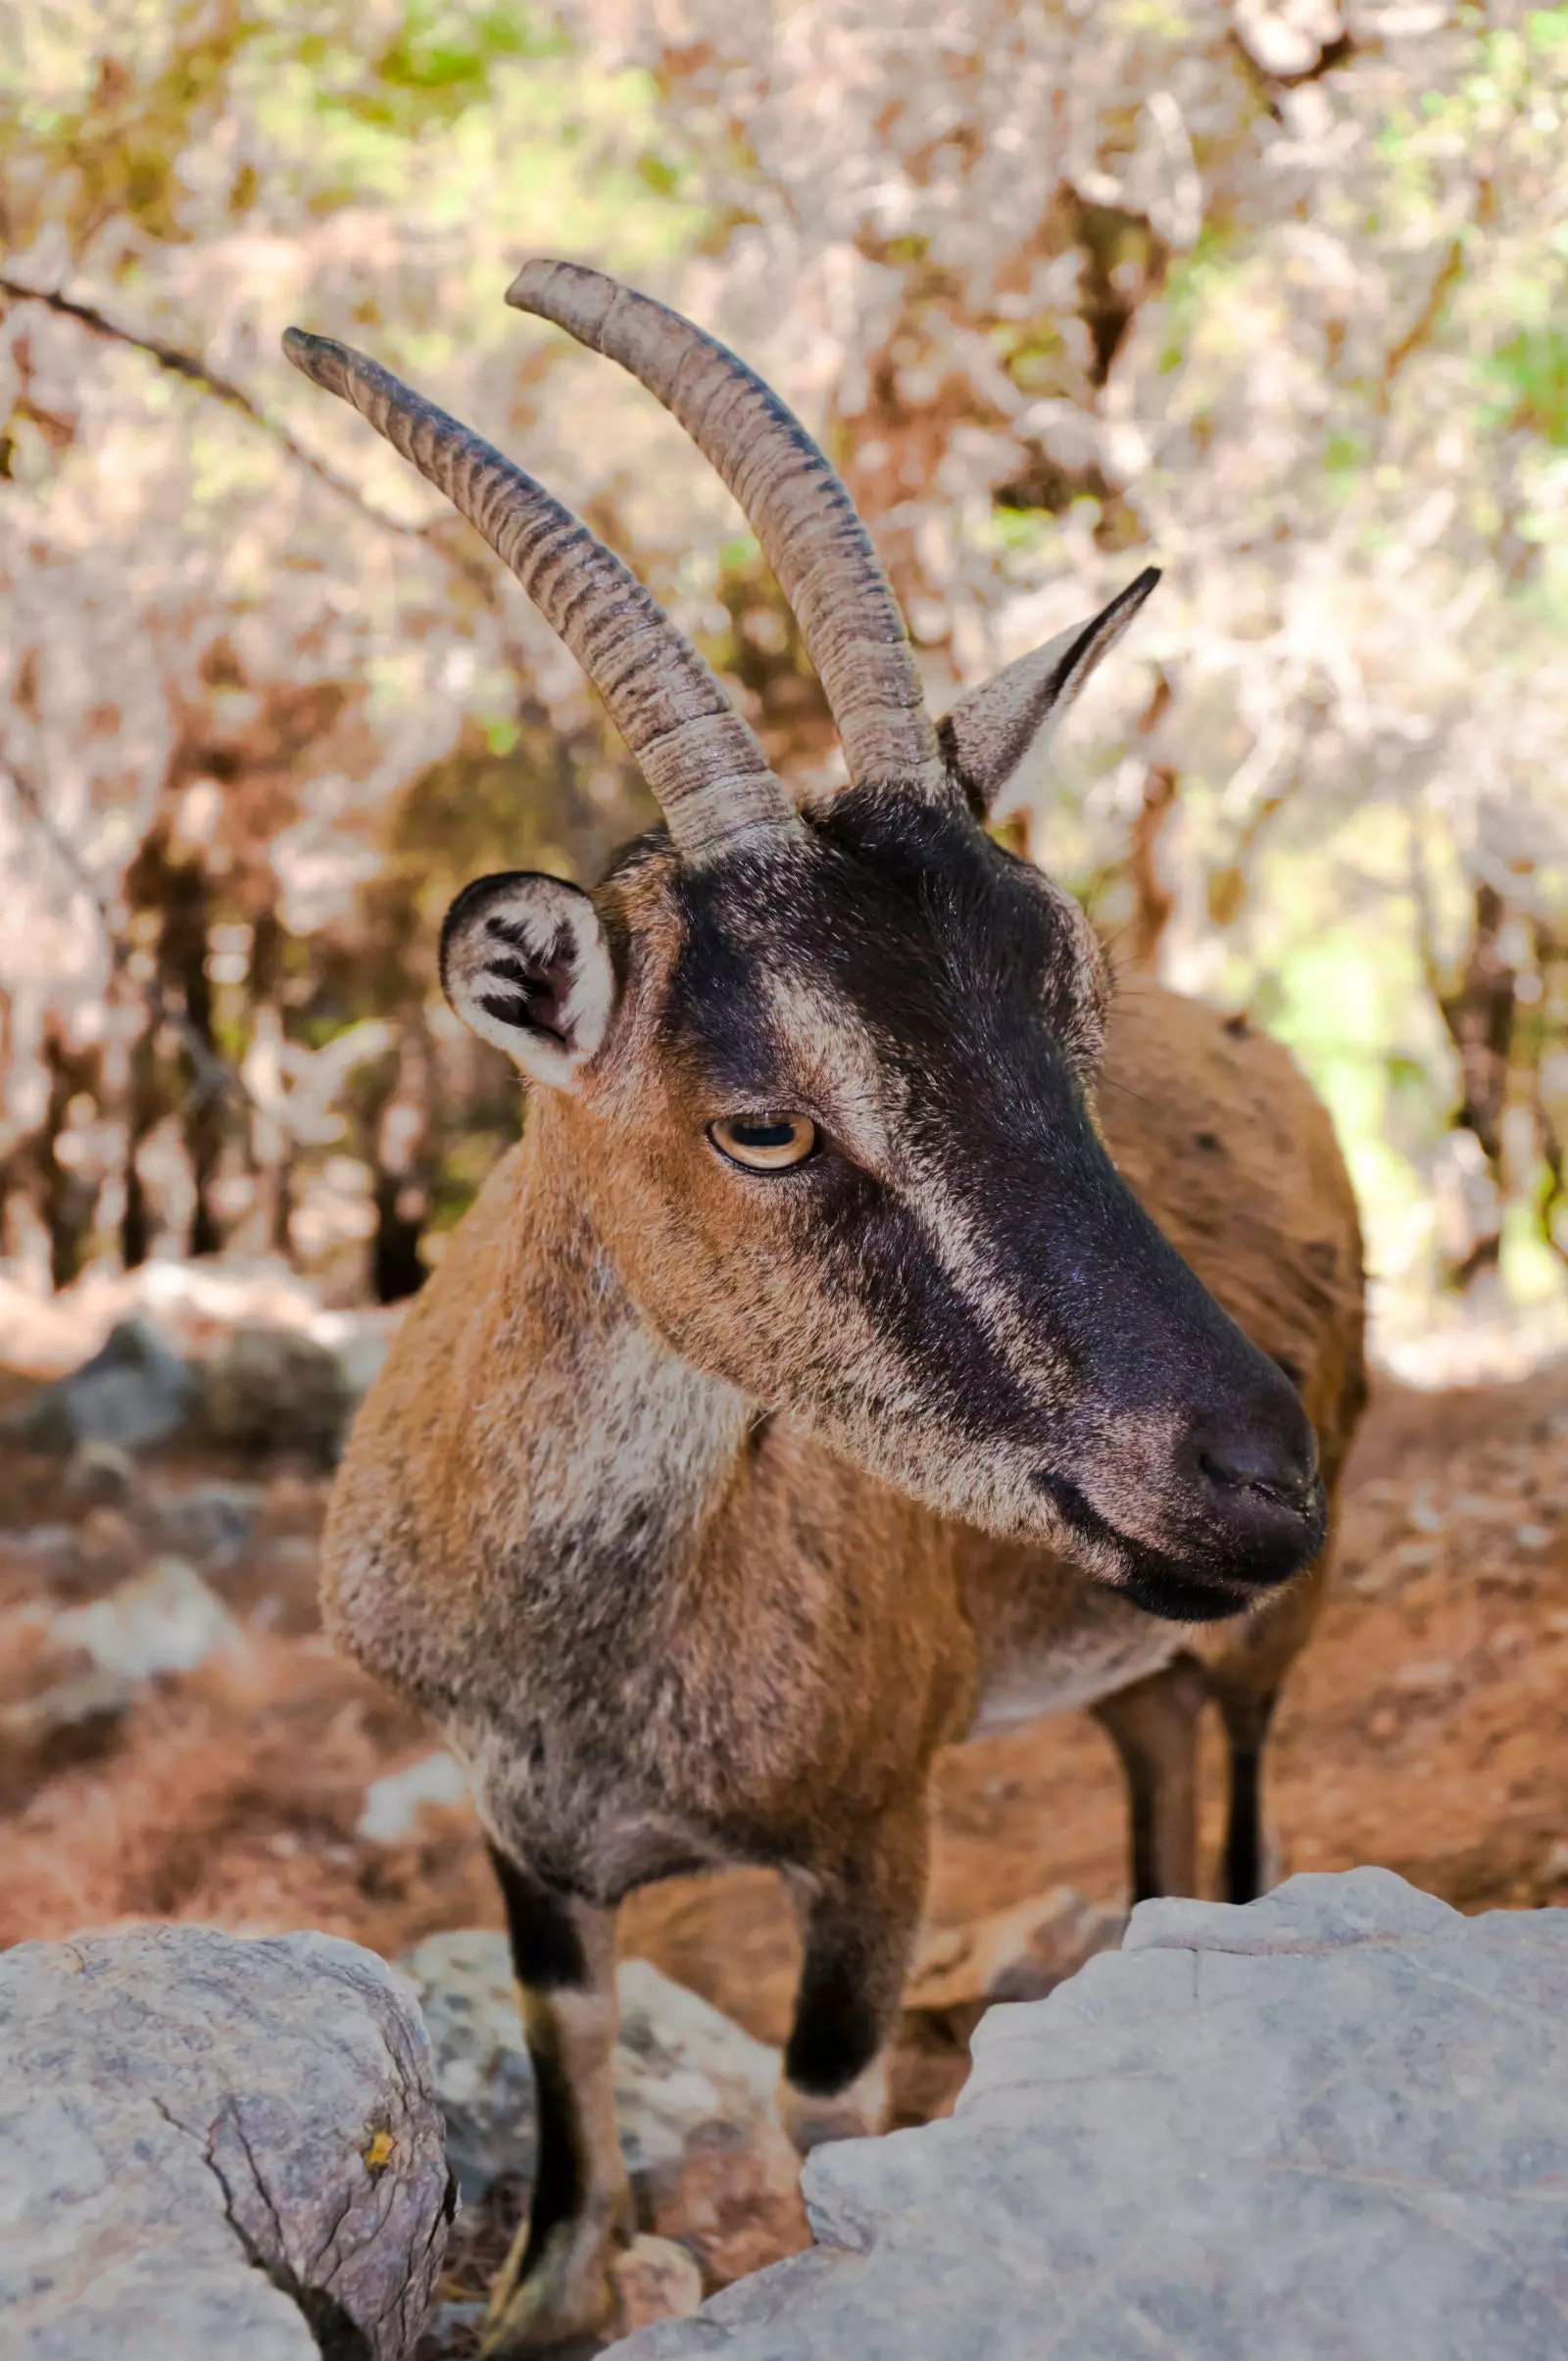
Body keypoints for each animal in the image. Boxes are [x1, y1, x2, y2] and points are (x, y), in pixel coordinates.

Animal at [287, 268, 1369, 2351]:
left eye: (1069, 999)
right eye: (764, 1120)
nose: (1251, 1465)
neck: (595, 1645)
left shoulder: (879, 1828)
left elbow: (822, 2117)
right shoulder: (523, 1837)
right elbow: (571, 2116)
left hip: (1266, 1630)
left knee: (1247, 1788)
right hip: (1142, 1625)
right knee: (1152, 1747)